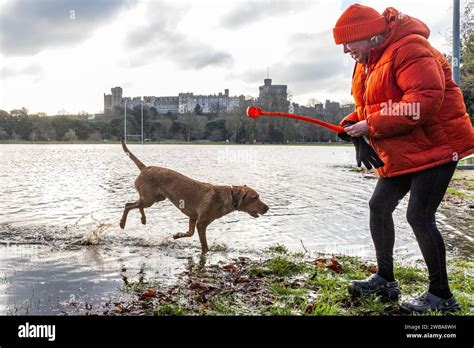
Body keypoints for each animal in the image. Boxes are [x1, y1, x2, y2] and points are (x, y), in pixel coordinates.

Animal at [120, 141, 268, 253]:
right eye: (255, 197)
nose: (267, 208)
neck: (226, 197)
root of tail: (145, 167)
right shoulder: (201, 224)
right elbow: (204, 245)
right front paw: (205, 252)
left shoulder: (193, 217)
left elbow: (189, 233)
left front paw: (178, 235)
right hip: (149, 199)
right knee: (128, 205)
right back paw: (122, 223)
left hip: (155, 198)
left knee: (136, 204)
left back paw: (143, 219)